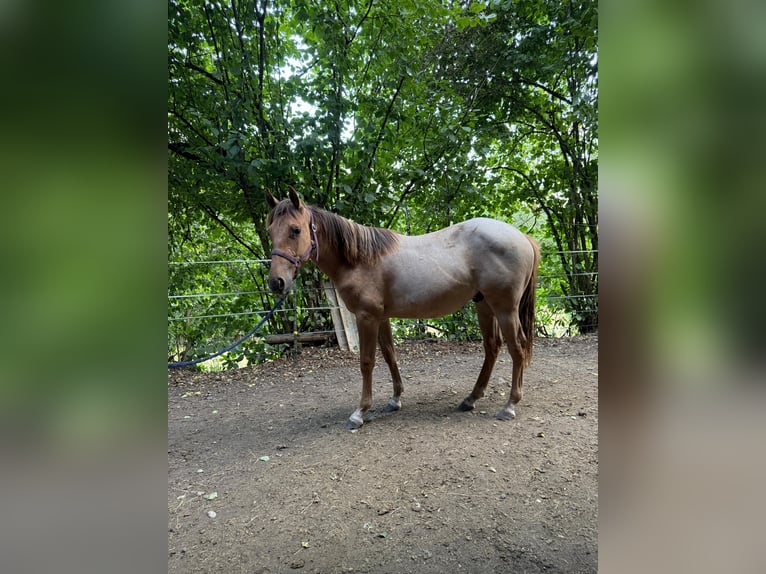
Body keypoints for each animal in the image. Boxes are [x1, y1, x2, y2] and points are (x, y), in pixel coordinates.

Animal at [265, 188, 540, 430]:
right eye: (270, 231)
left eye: (295, 230)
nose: (276, 283)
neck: (359, 260)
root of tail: (522, 237)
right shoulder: (381, 318)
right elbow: (390, 355)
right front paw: (395, 399)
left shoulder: (366, 318)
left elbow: (367, 362)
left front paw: (360, 412)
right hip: (484, 305)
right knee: (492, 347)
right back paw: (471, 399)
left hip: (505, 309)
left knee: (516, 348)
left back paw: (509, 405)